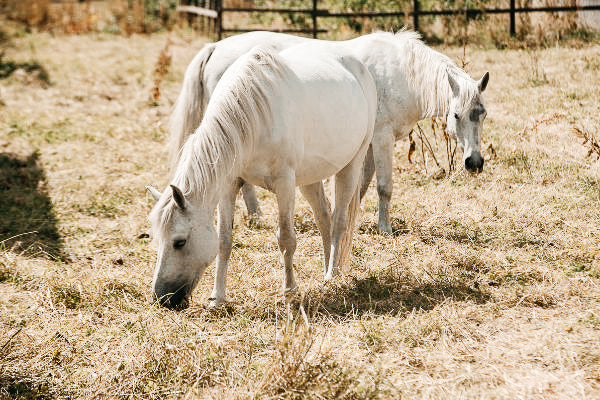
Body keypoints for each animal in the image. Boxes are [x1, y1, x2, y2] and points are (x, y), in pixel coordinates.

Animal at [148, 44, 378, 310]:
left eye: (179, 242)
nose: (162, 298)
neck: (254, 116)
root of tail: (357, 64)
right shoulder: (229, 184)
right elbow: (224, 240)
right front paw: (218, 298)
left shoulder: (285, 183)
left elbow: (286, 238)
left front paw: (290, 291)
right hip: (310, 177)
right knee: (324, 217)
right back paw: (326, 269)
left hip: (351, 165)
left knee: (340, 220)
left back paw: (333, 274)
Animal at [169, 30, 488, 234]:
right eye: (456, 115)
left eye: (482, 114)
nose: (474, 163)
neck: (401, 73)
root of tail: (216, 47)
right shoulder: (382, 138)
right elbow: (384, 186)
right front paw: (384, 229)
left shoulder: (366, 143)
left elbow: (360, 184)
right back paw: (257, 216)